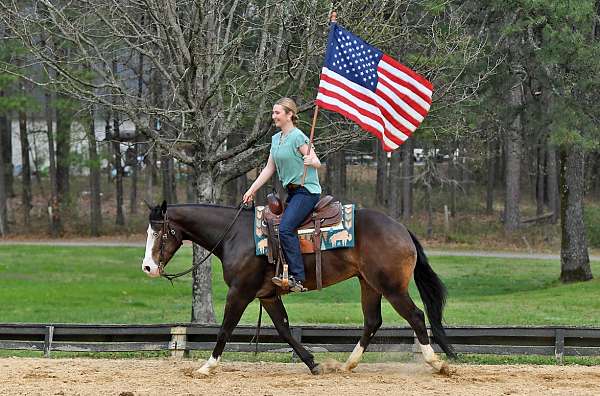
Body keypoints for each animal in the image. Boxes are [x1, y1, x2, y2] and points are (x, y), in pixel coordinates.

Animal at [143, 203, 458, 376]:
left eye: (158, 233)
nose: (147, 267)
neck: (235, 235)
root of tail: (402, 229)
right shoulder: (268, 296)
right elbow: (284, 329)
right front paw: (313, 364)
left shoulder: (240, 293)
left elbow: (225, 329)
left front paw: (207, 367)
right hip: (368, 283)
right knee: (372, 321)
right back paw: (347, 365)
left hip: (391, 287)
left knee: (415, 316)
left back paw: (436, 363)